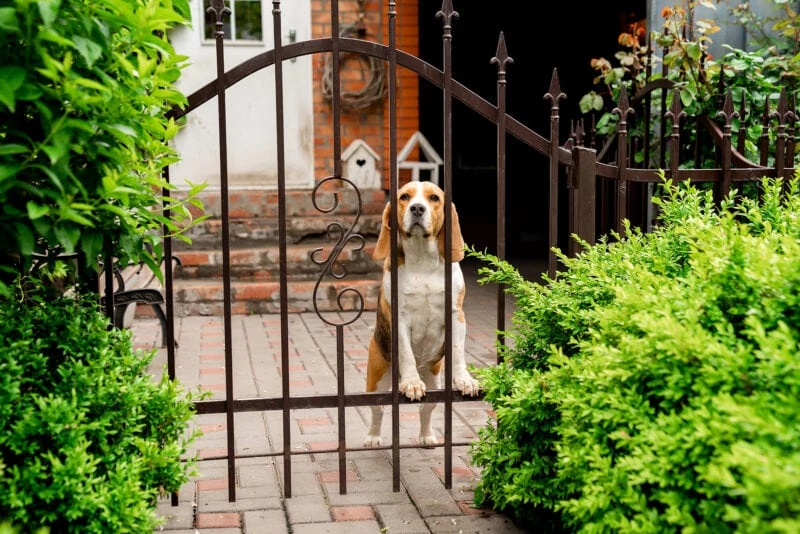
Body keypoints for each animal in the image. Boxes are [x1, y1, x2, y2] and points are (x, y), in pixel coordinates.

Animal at [364, 180, 482, 448]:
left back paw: (426, 436)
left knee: (426, 410)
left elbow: (458, 352)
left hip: (434, 381)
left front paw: (464, 379)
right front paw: (411, 382)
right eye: (404, 197)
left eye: (434, 198)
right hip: (376, 380)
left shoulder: (456, 315)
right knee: (377, 410)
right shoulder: (400, 319)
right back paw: (373, 437)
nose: (417, 209)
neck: (423, 261)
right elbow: (407, 354)